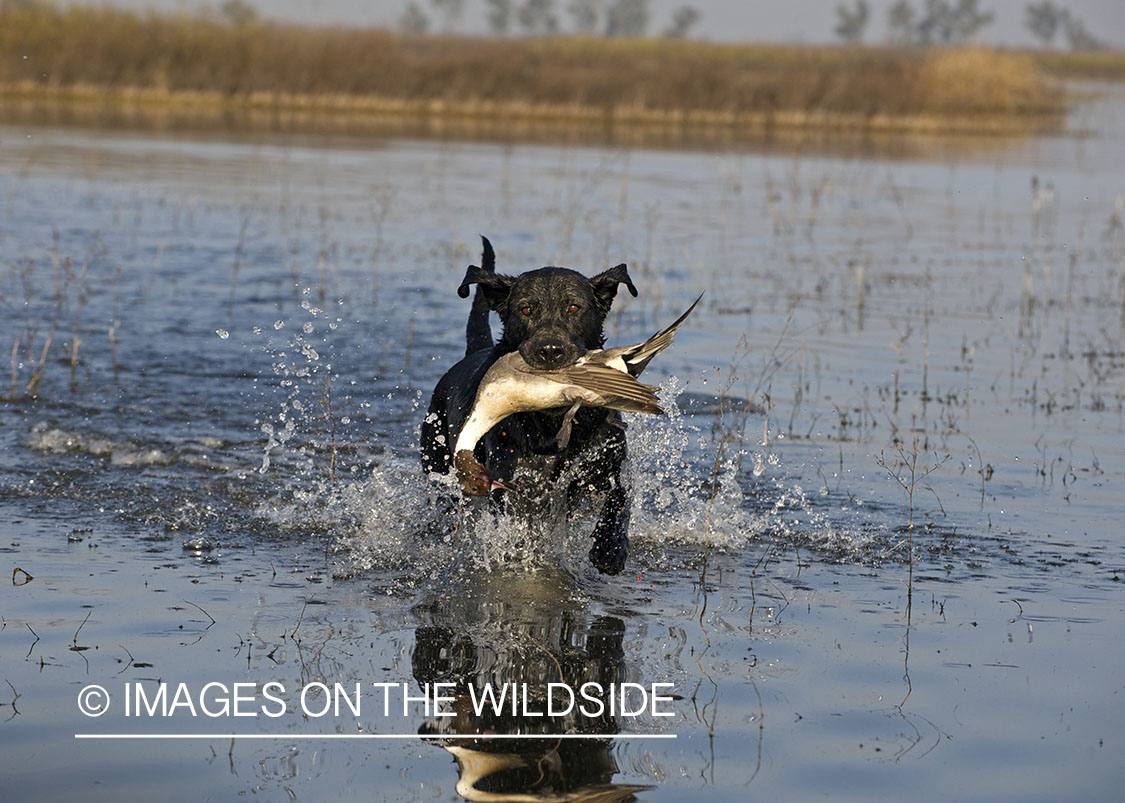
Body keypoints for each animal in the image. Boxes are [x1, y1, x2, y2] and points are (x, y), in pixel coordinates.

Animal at [420, 235, 639, 571]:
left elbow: (619, 501)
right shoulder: (514, 485)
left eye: (573, 306)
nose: (549, 351)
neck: (554, 419)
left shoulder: (607, 467)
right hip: (439, 460)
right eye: (525, 309)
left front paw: (609, 547)